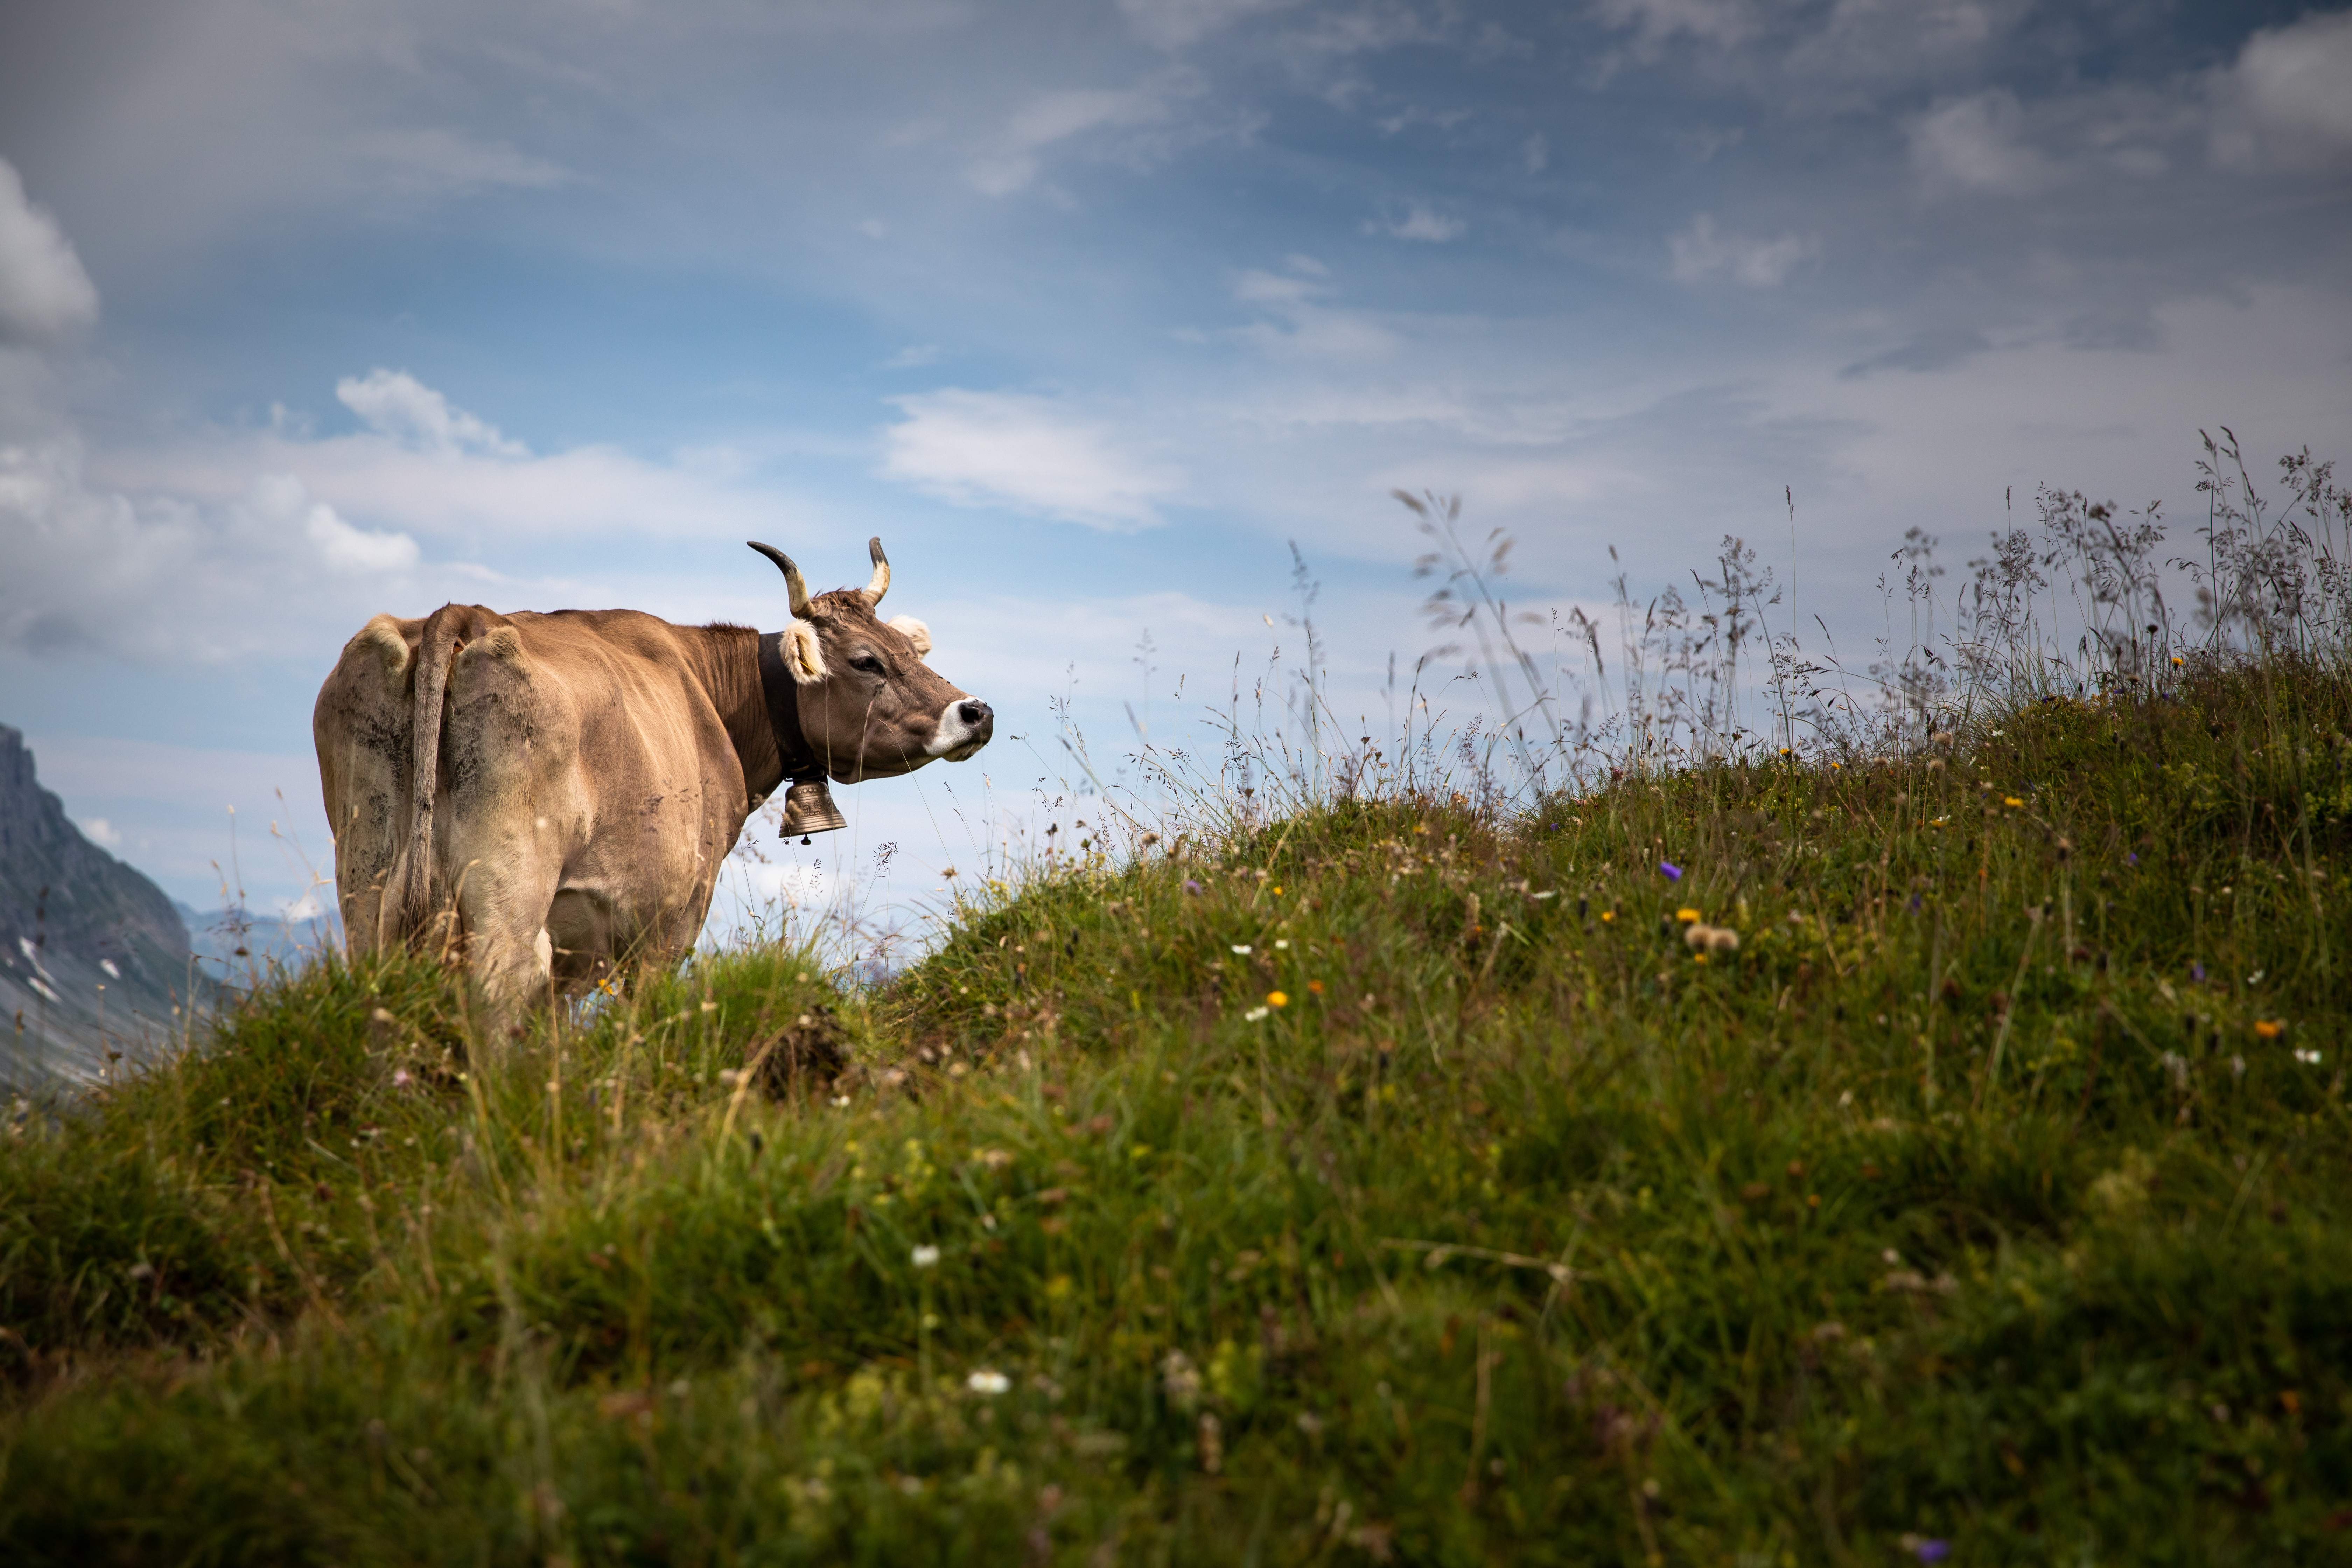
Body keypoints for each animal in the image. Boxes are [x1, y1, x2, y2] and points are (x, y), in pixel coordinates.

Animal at [315, 540, 992, 1006]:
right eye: (866, 660)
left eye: (909, 652)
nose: (977, 712)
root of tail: (461, 615)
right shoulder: (674, 916)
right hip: (510, 878)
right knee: (502, 981)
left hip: (368, 873)